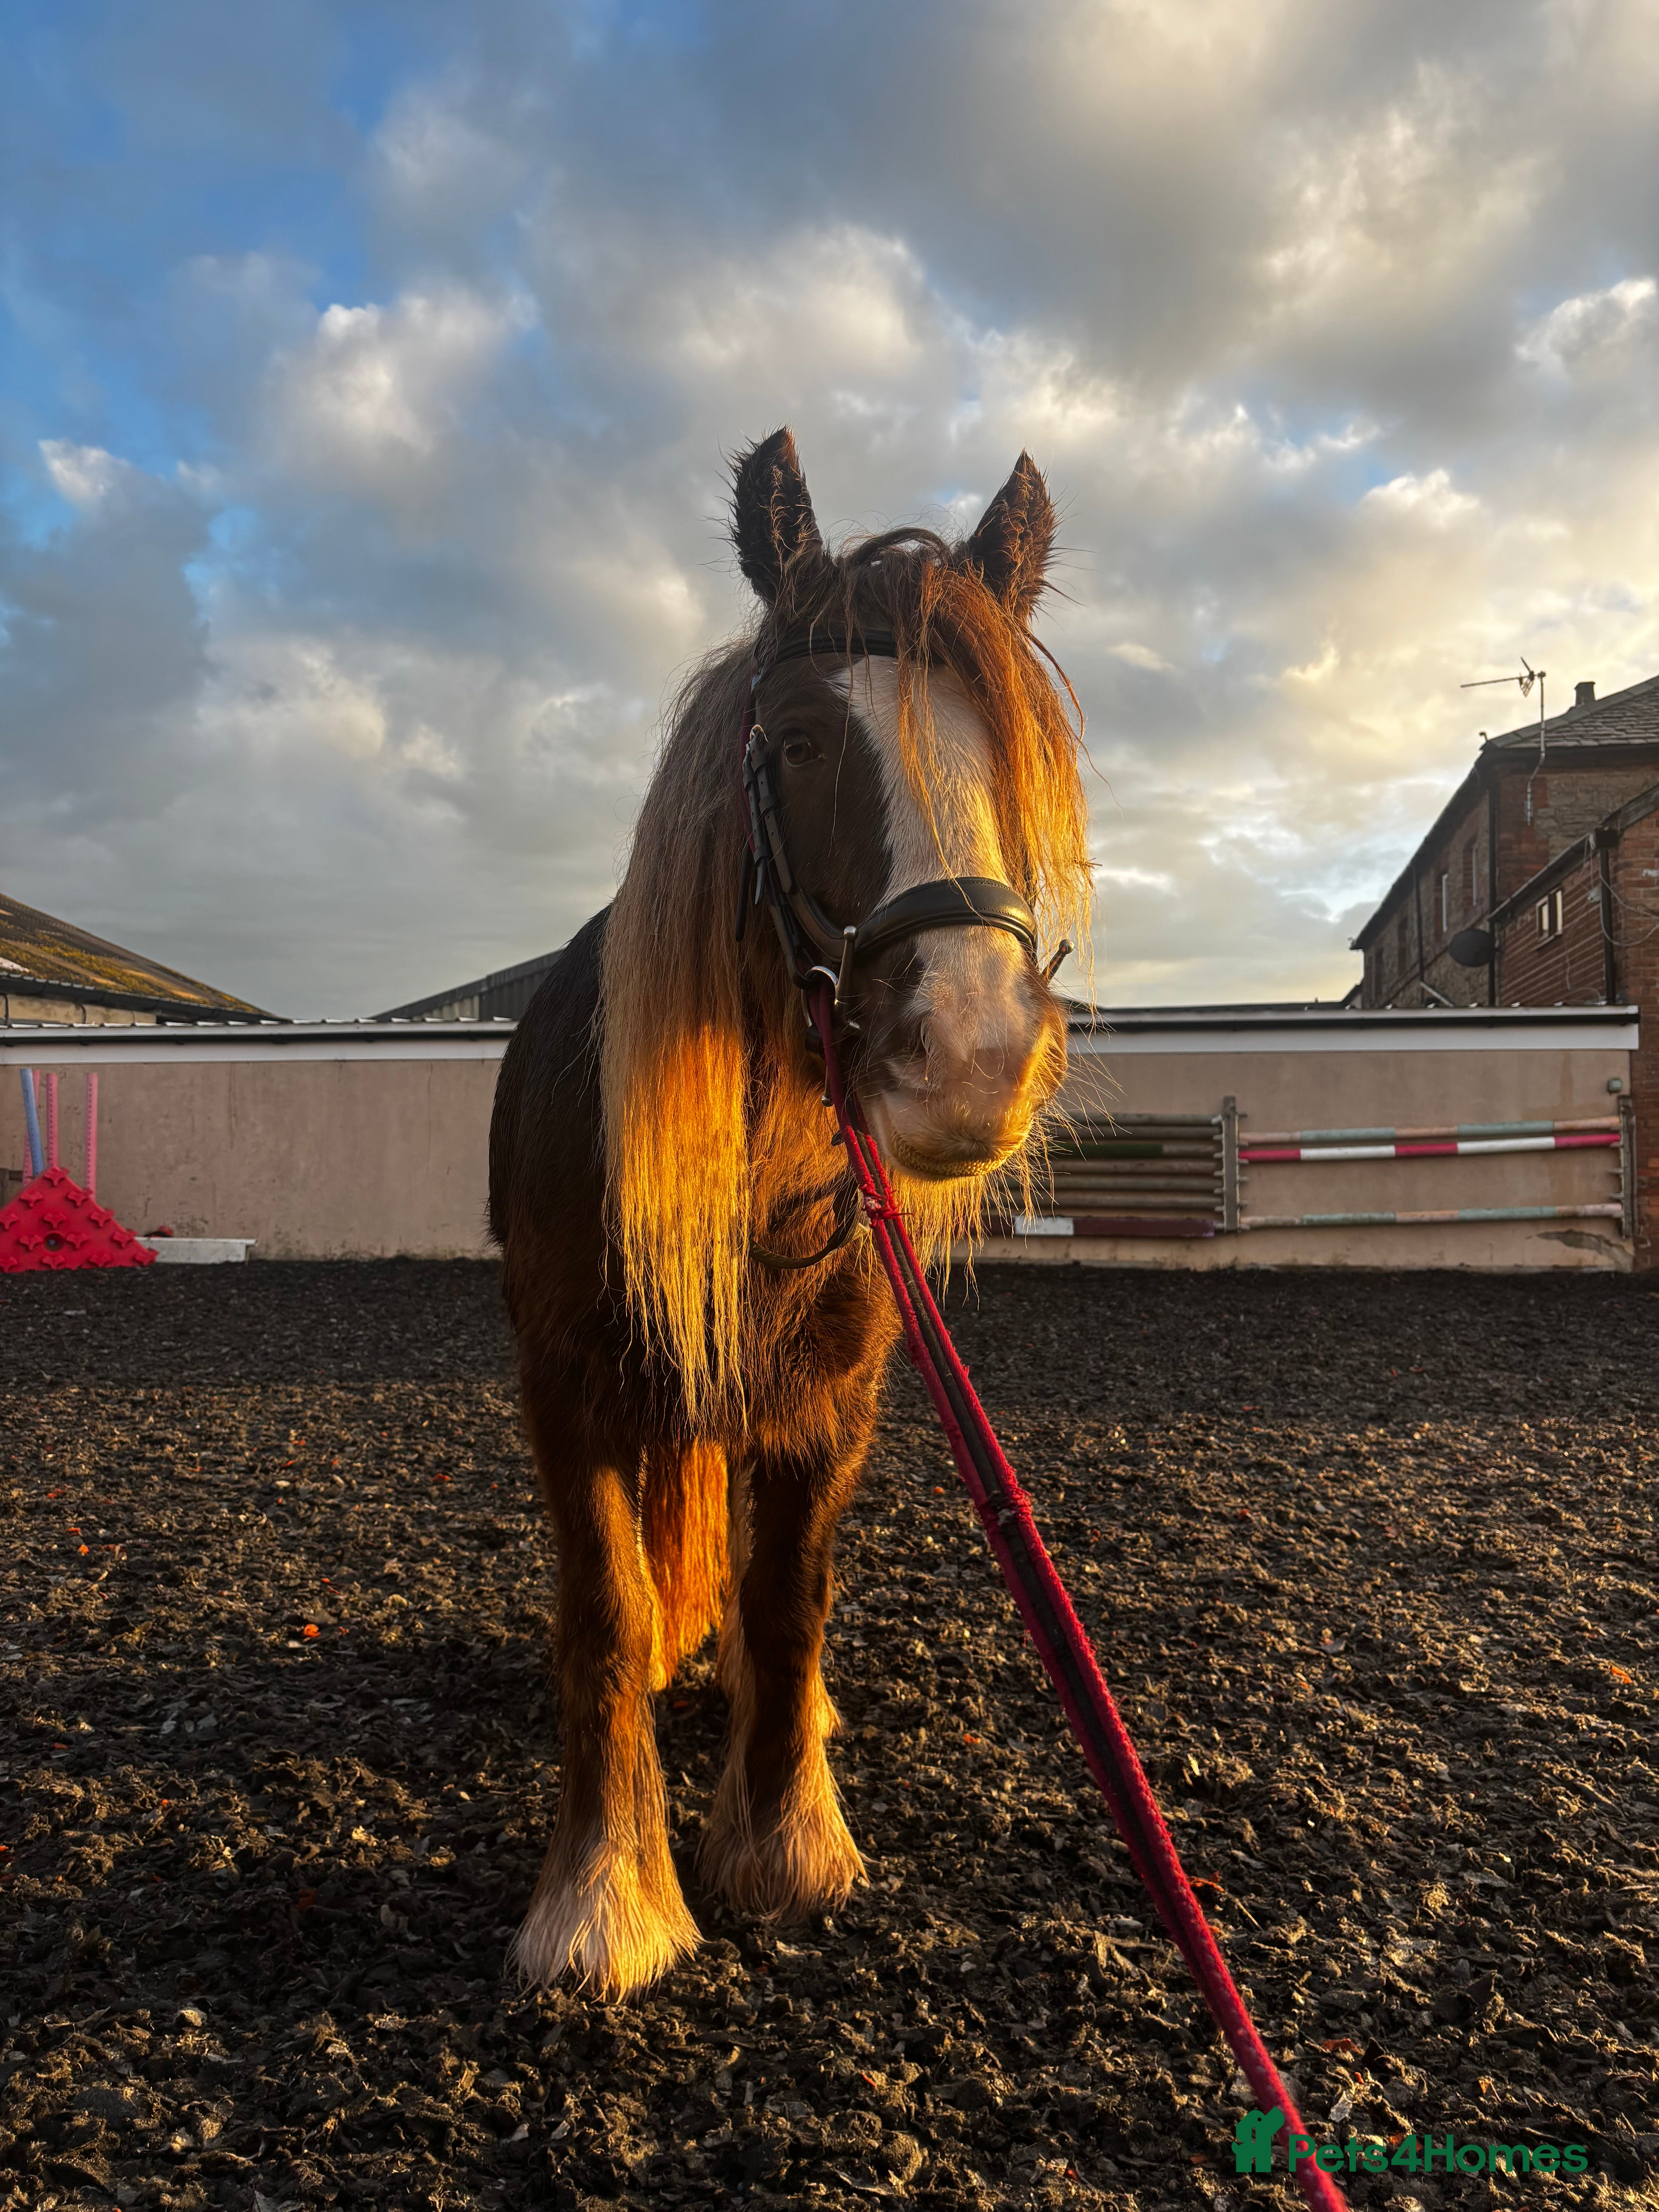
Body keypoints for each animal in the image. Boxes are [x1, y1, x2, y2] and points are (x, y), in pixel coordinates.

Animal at [488, 428, 1091, 2000]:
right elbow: (605, 1608)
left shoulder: (832, 1395)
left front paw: (782, 1837)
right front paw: (605, 1898)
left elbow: (788, 1590)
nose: (972, 1054)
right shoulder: (567, 1385)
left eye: (1014, 754)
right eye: (803, 744)